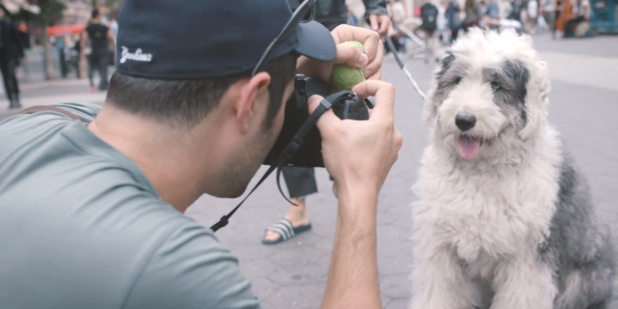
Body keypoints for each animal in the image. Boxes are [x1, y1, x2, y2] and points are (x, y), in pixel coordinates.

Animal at [410, 27, 612, 306]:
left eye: (496, 86)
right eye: (457, 80)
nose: (464, 120)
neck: (480, 173)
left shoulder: (528, 254)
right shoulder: (440, 248)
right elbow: (438, 294)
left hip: (581, 279)